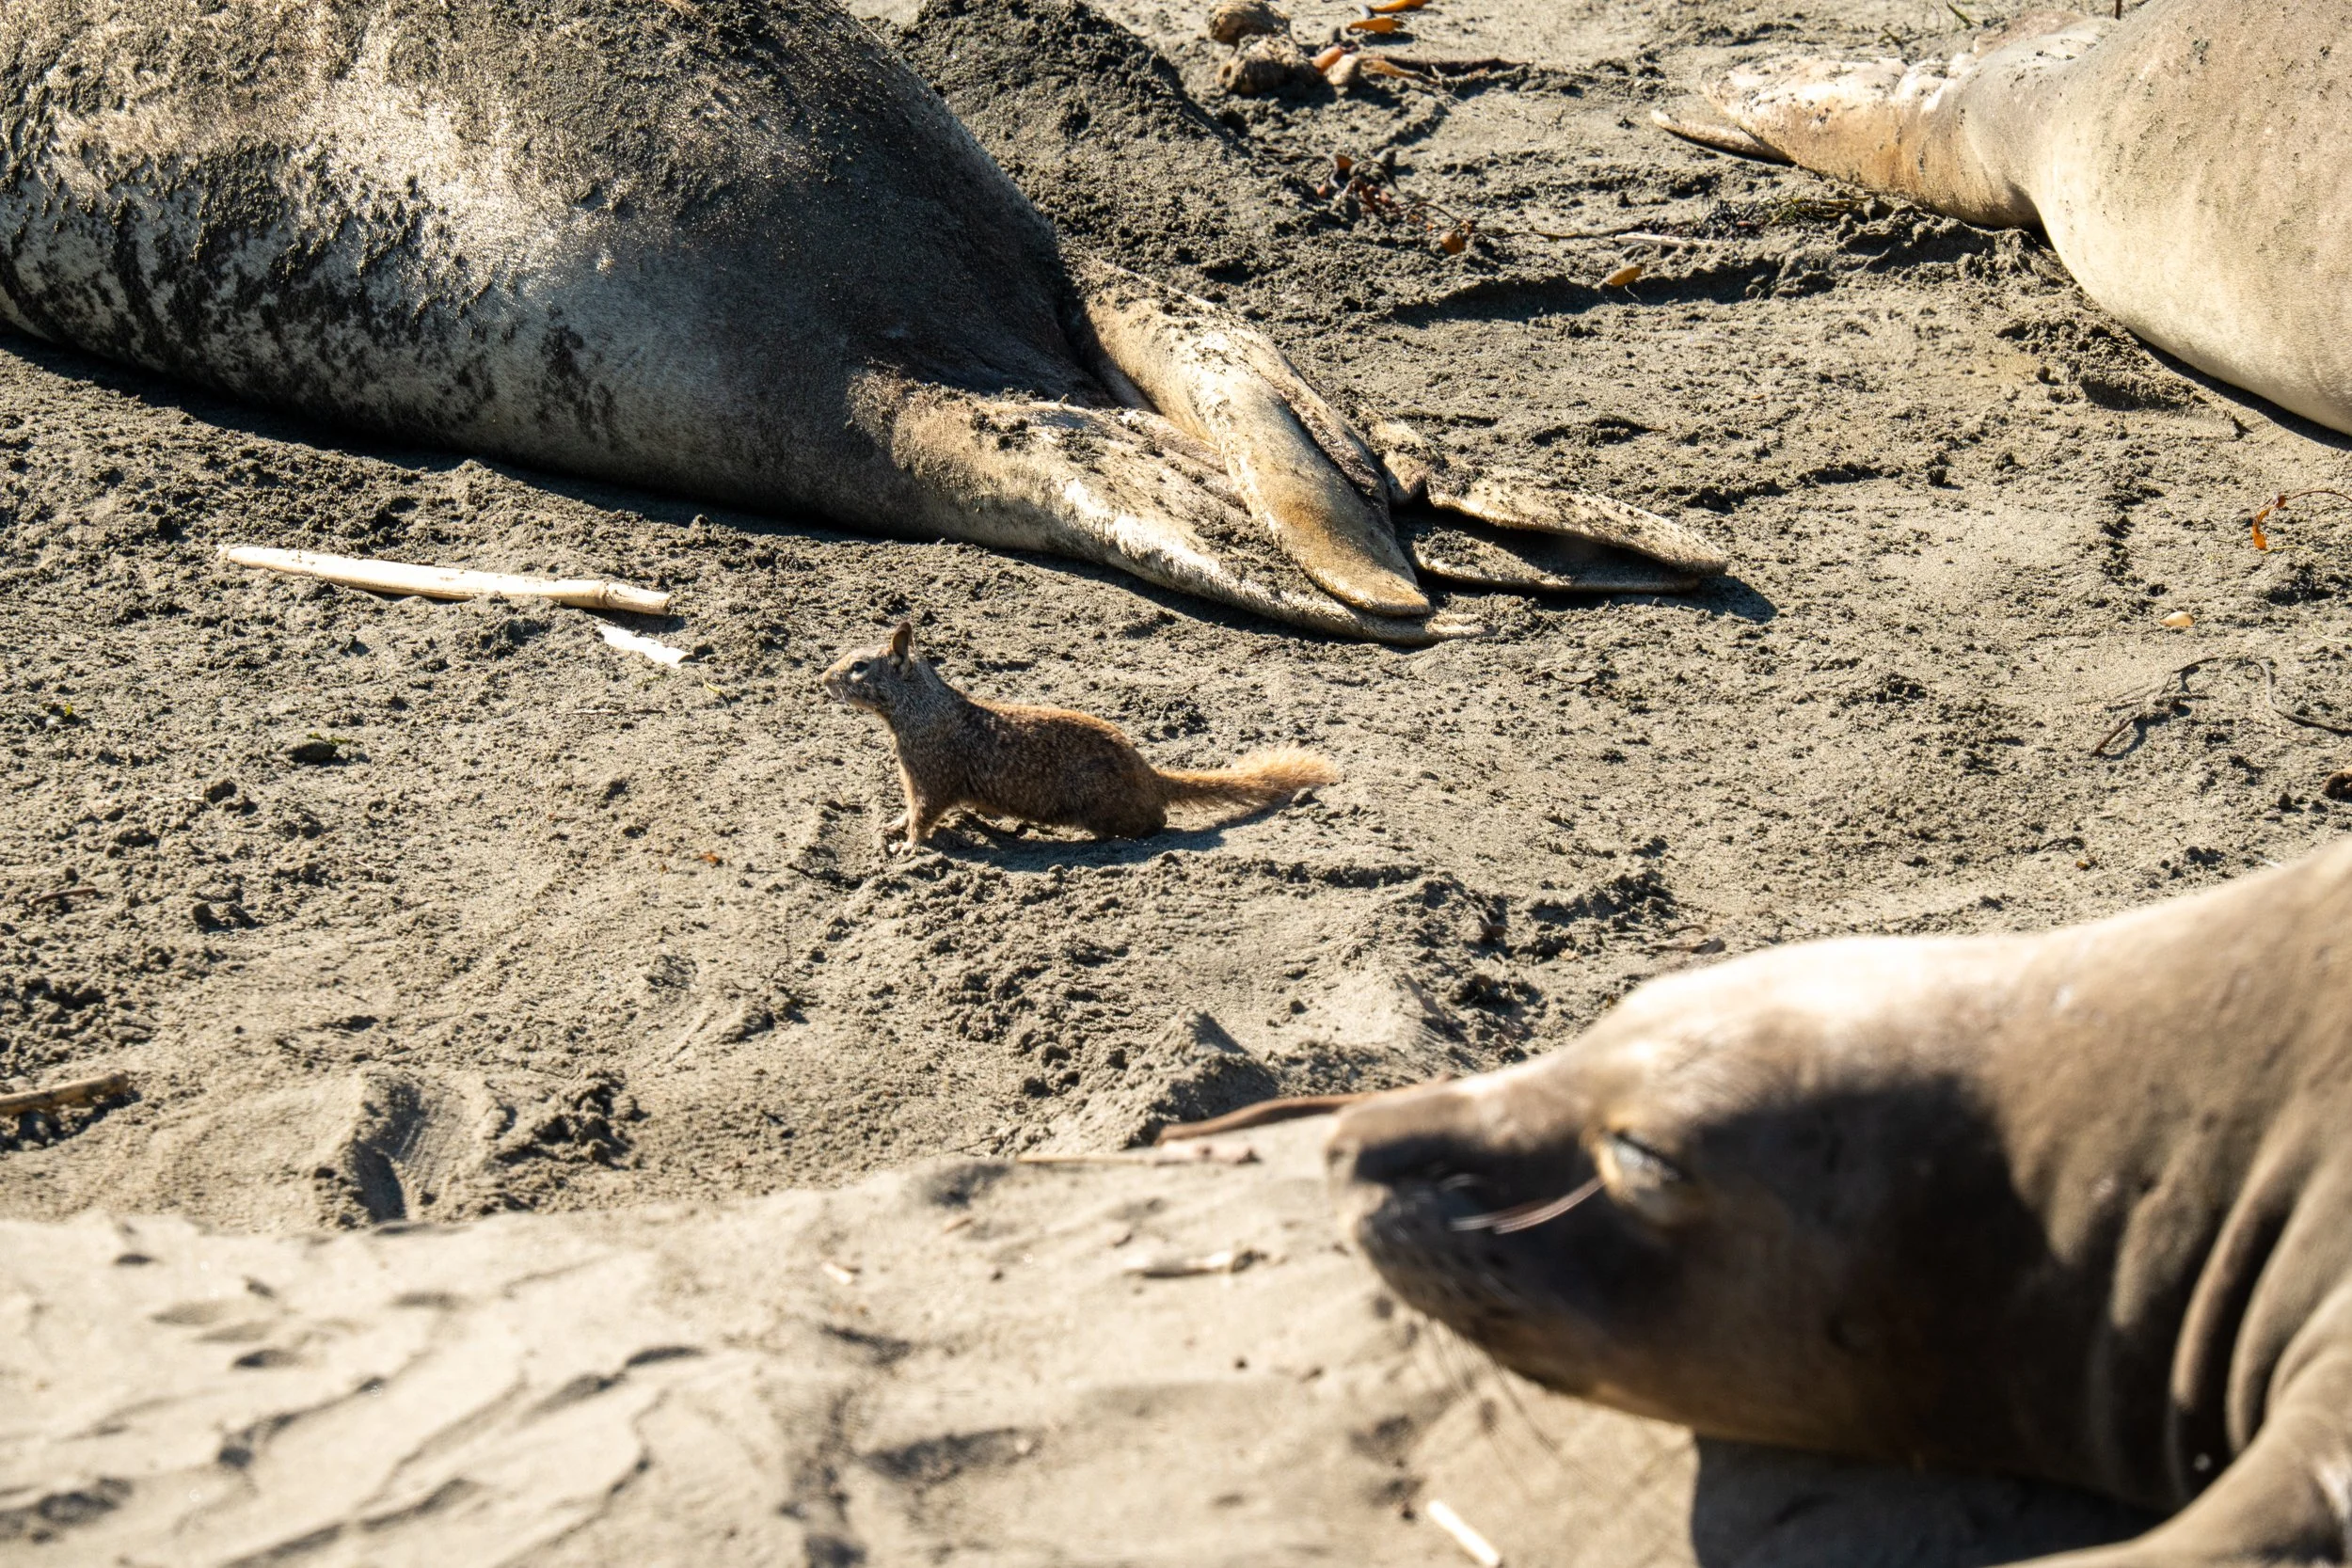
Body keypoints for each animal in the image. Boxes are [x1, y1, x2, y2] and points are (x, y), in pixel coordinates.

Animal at [820, 622, 1340, 848]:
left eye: (860, 666)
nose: (824, 678)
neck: (921, 709)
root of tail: (1147, 772)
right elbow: (909, 809)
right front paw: (893, 826)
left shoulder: (930, 774)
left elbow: (924, 815)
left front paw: (909, 848)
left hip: (1102, 807)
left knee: (1156, 822)